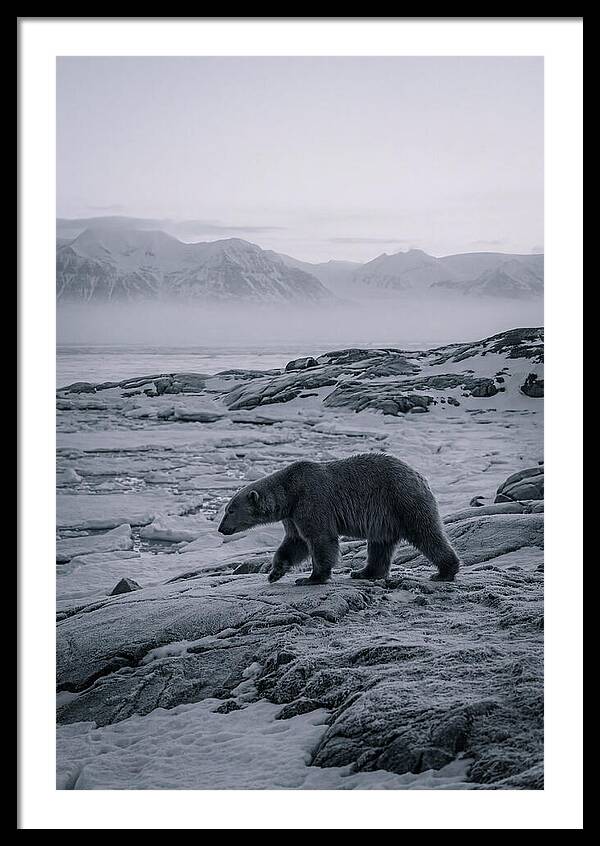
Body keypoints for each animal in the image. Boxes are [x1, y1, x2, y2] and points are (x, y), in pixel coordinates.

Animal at [217, 453, 460, 585]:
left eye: (230, 510)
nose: (221, 529)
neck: (290, 491)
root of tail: (419, 476)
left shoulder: (311, 500)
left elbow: (320, 538)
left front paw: (311, 578)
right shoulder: (293, 515)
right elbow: (295, 542)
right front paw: (275, 572)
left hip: (401, 499)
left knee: (425, 533)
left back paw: (445, 571)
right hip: (385, 516)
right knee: (380, 545)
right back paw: (364, 572)